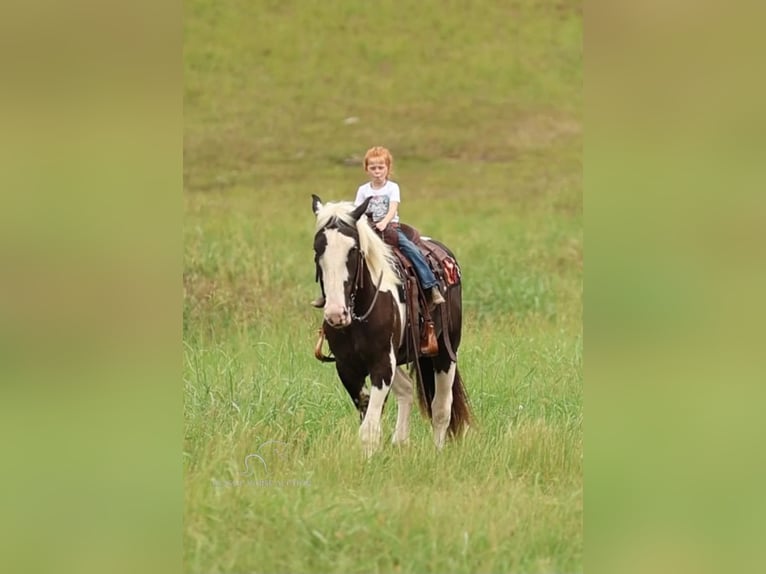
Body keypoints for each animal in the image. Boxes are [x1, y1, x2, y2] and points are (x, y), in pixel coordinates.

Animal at [310, 196, 468, 456]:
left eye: (353, 250)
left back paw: (436, 453)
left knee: (441, 409)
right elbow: (368, 415)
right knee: (407, 390)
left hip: (446, 353)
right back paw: (400, 442)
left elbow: (369, 428)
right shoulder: (347, 367)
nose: (335, 313)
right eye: (317, 250)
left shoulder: (382, 365)